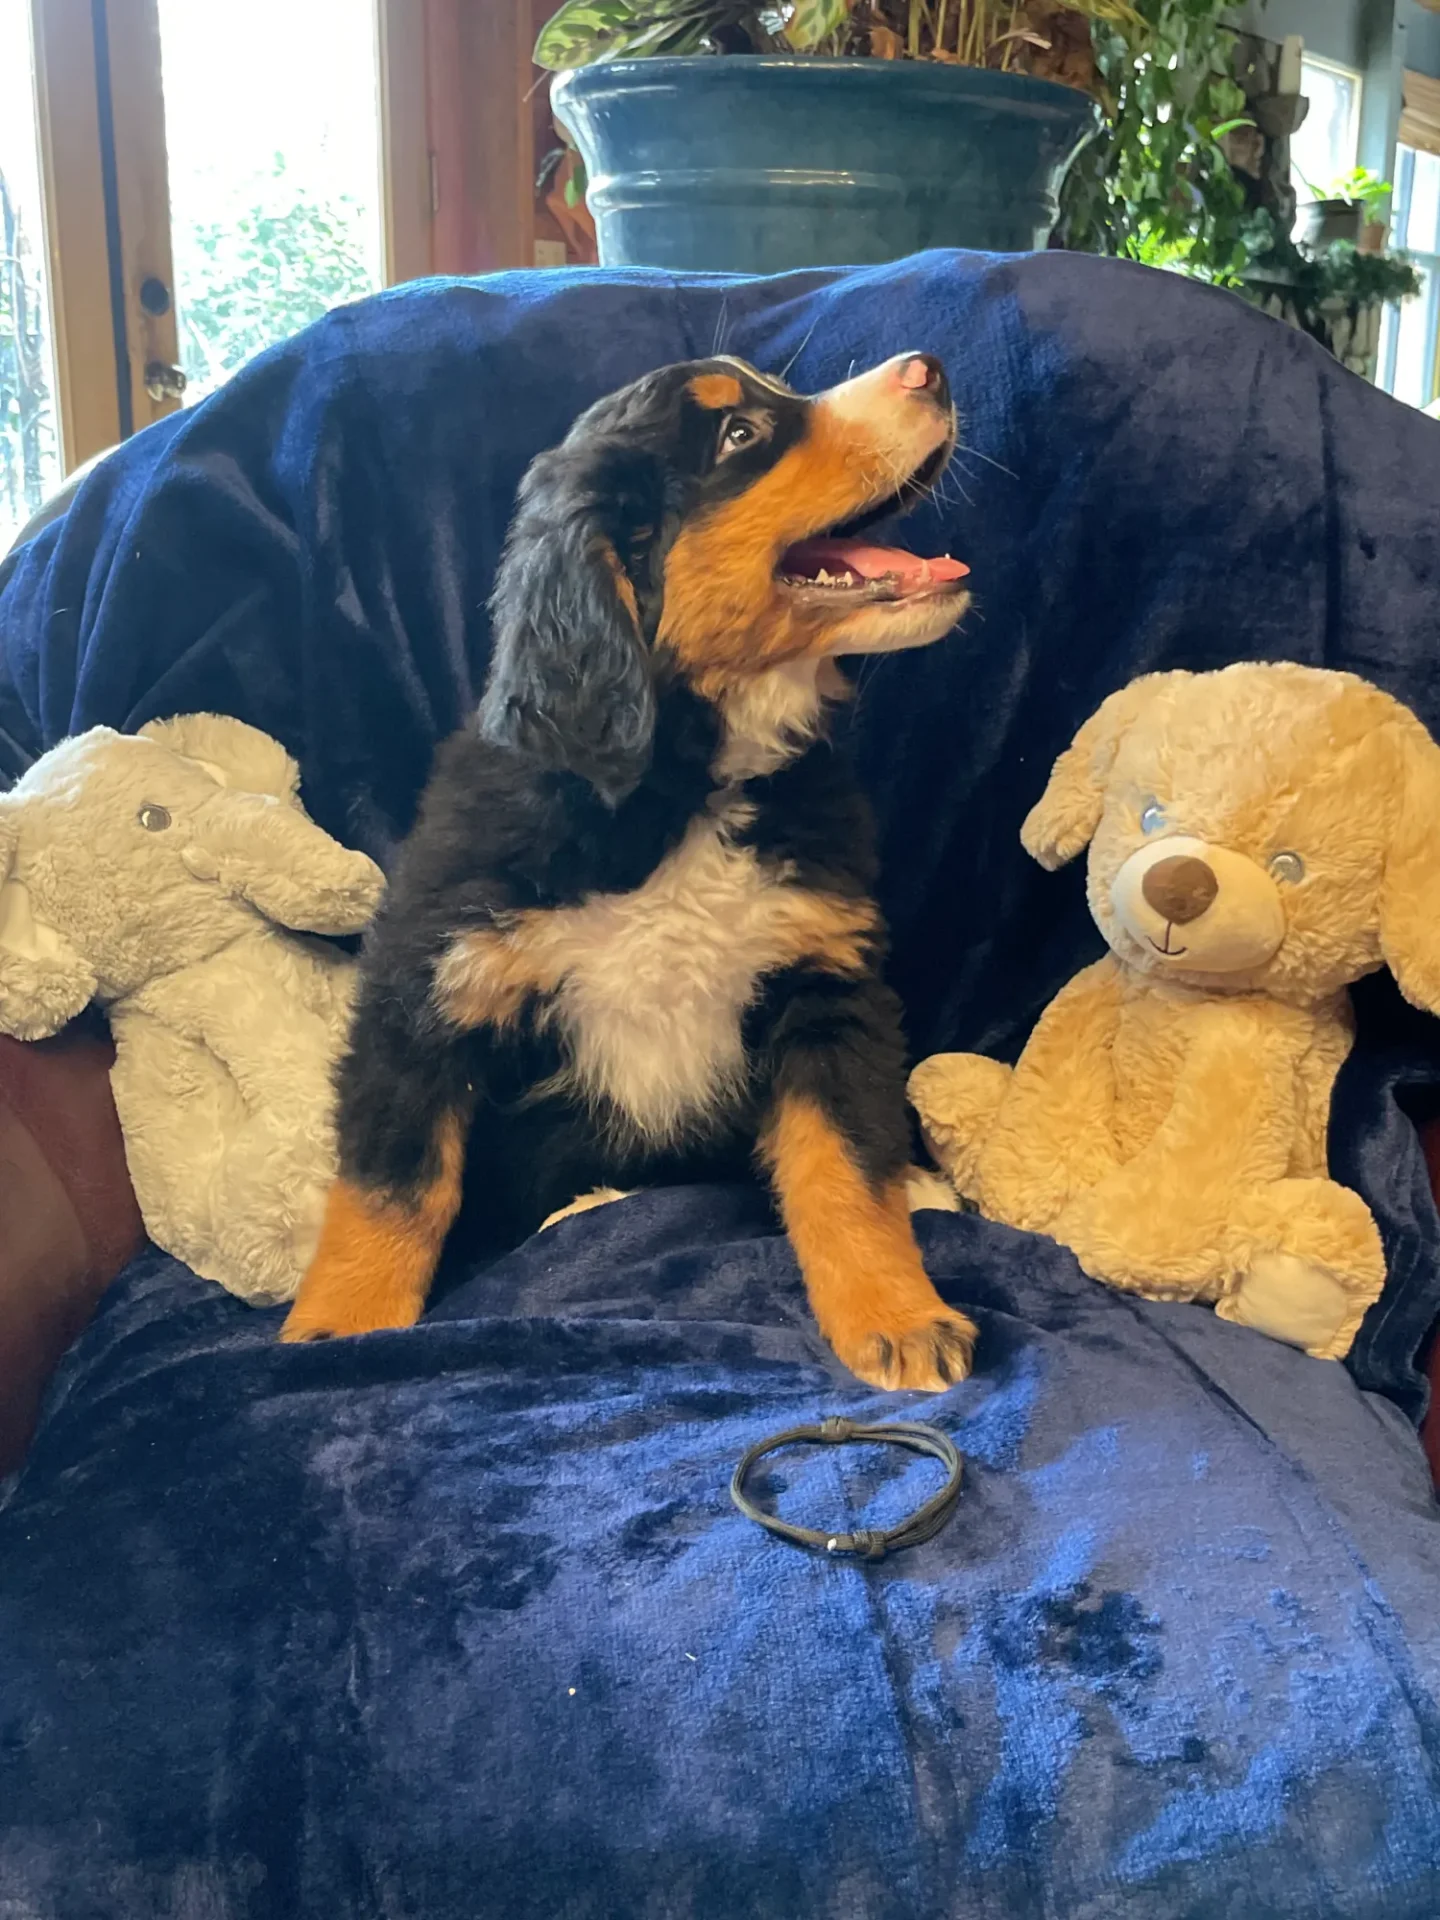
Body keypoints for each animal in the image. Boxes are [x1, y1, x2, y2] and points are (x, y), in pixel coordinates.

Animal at [282, 349, 983, 1397]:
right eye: (739, 435)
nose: (928, 369)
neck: (676, 786)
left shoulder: (824, 983)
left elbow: (848, 1170)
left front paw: (898, 1316)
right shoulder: (428, 990)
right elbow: (391, 1187)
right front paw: (338, 1331)